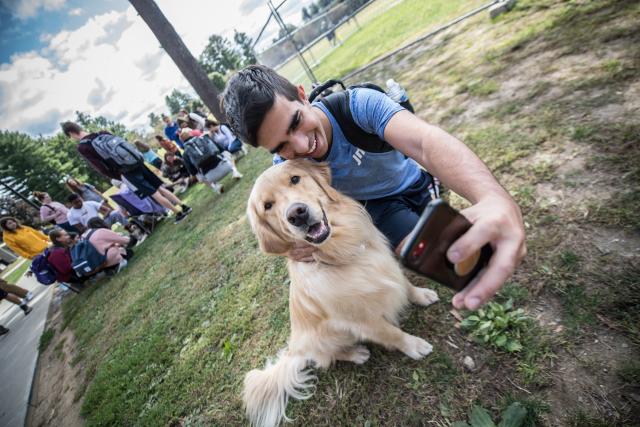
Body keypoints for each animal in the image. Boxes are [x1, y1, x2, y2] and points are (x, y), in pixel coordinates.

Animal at [245, 159, 440, 426]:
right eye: (267, 206)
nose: (297, 214)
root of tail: (295, 350)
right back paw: (355, 353)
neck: (341, 250)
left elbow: (406, 284)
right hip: (327, 338)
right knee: (327, 359)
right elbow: (392, 333)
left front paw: (421, 295)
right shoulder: (362, 319)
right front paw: (414, 345)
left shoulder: (387, 261)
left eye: (295, 179)